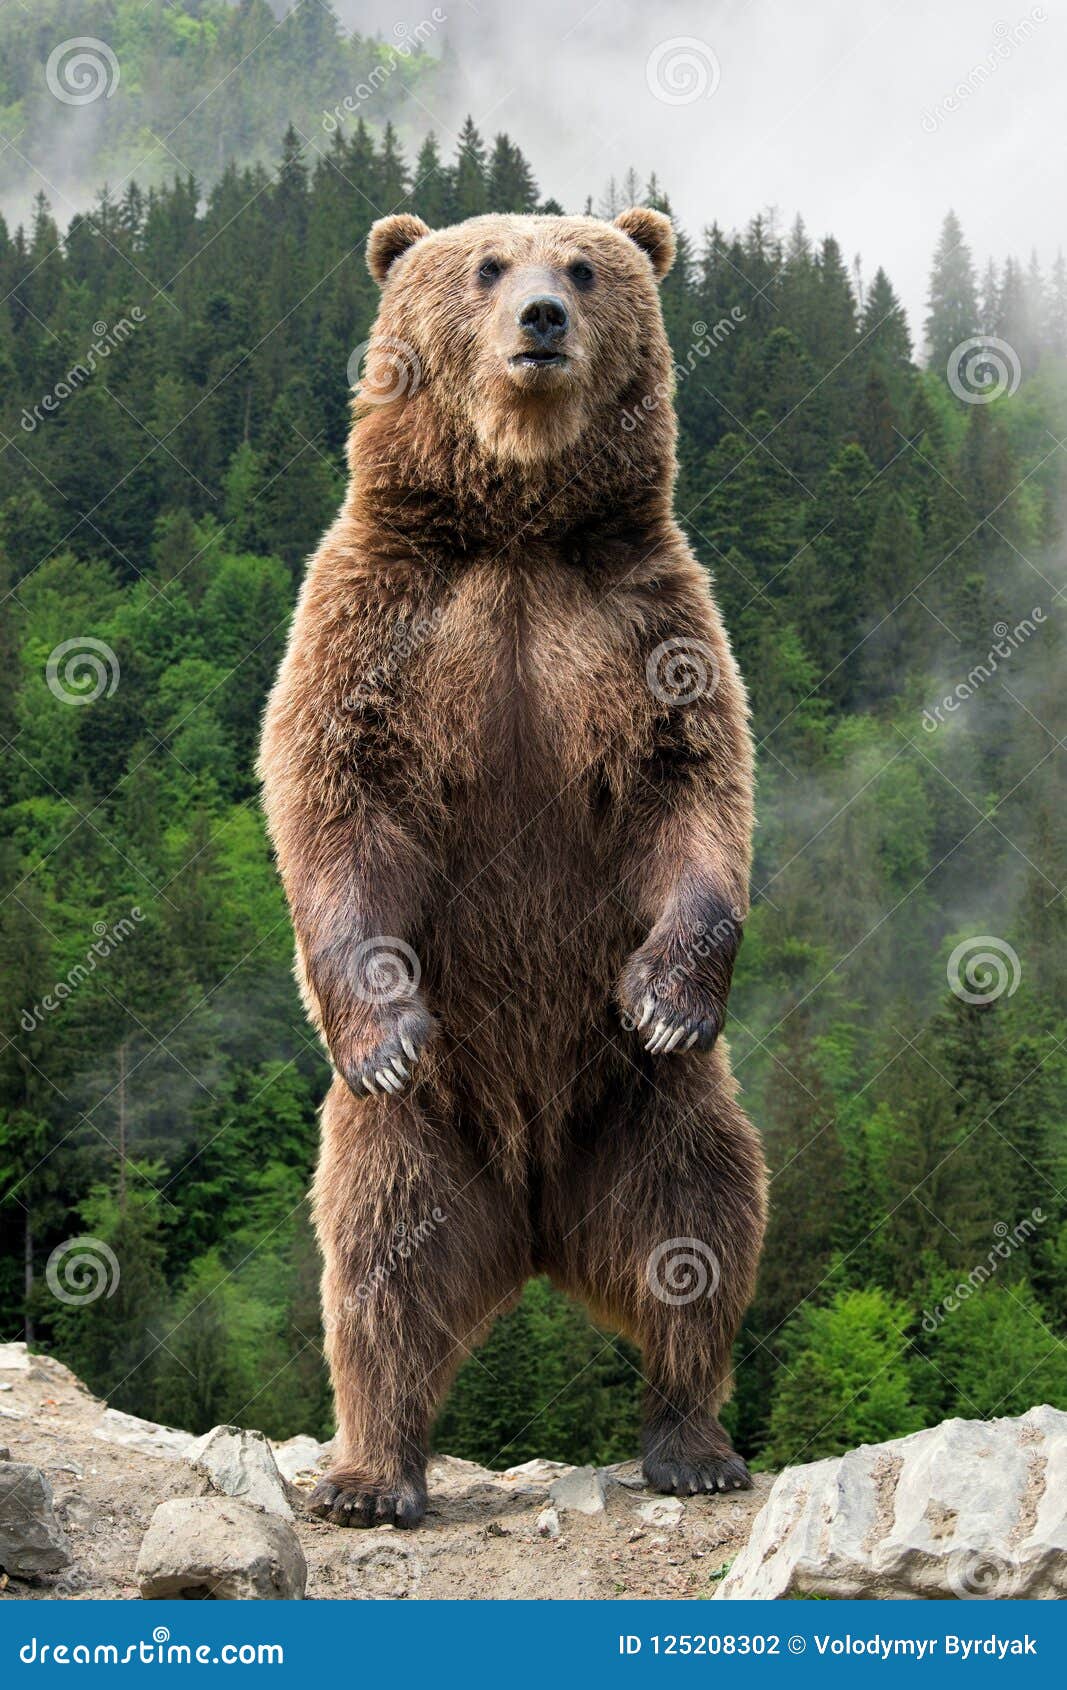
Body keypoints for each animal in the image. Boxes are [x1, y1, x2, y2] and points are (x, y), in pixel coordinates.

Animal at [263, 204, 771, 1527]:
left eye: (584, 267)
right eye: (487, 264)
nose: (540, 317)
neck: (517, 529)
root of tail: (536, 1219)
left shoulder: (646, 626)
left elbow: (693, 792)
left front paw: (666, 994)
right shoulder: (379, 619)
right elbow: (334, 797)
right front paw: (383, 1029)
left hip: (650, 1110)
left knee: (697, 1228)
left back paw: (692, 1441)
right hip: (418, 1138)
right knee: (378, 1270)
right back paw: (369, 1473)